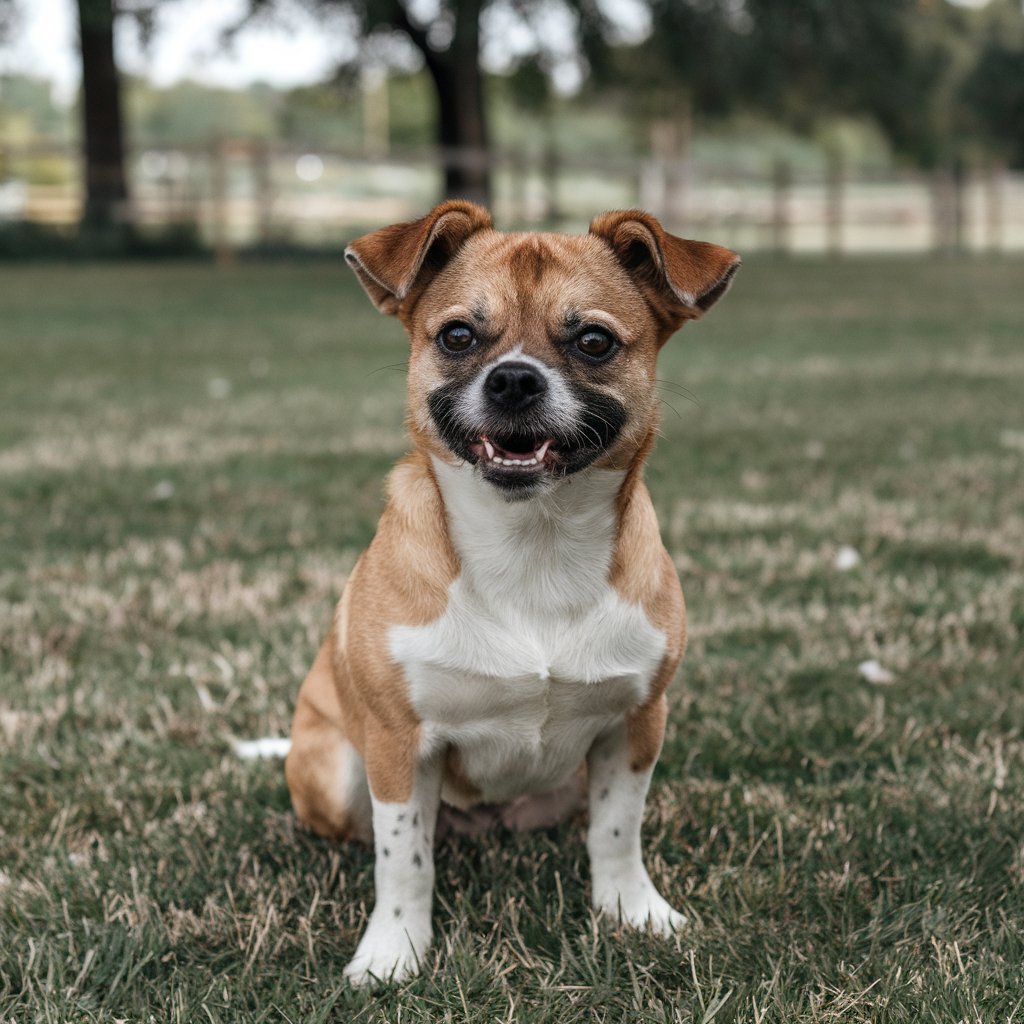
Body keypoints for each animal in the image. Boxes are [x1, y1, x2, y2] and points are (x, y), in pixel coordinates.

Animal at [284, 201, 741, 983]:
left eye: (593, 340)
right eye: (458, 335)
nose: (515, 381)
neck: (534, 544)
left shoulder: (636, 725)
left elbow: (618, 831)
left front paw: (633, 912)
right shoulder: (399, 746)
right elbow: (402, 859)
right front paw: (394, 951)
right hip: (336, 770)